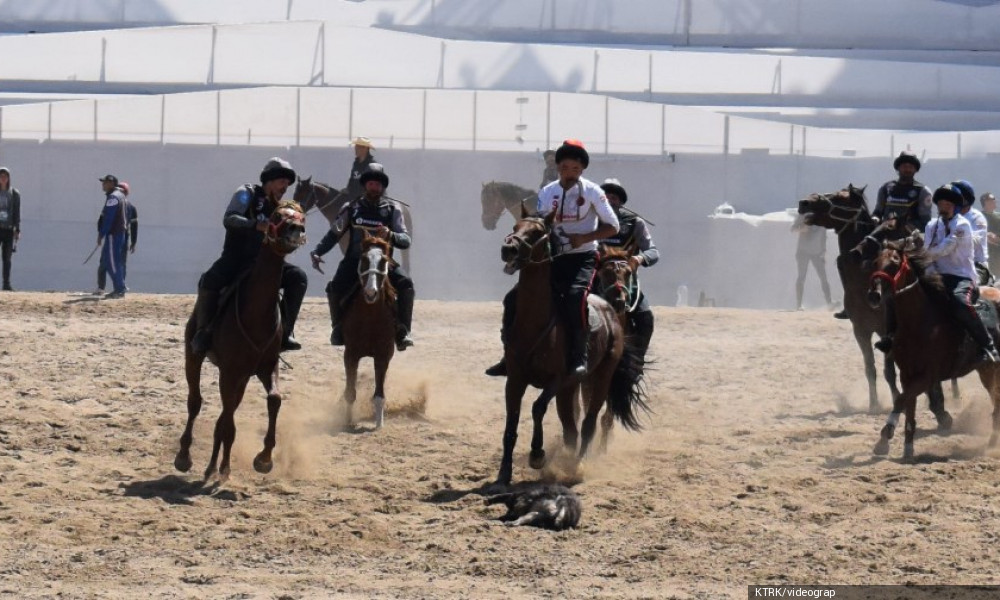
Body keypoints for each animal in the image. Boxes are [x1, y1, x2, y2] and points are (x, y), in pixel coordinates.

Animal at [174, 199, 304, 480]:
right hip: (194, 355)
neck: (256, 314)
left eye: (302, 218)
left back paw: (219, 466)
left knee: (227, 412)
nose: (296, 230)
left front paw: (263, 459)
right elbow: (226, 419)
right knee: (196, 402)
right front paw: (217, 466)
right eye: (276, 216)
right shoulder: (230, 371)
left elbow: (274, 400)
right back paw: (187, 457)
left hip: (243, 376)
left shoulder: (265, 367)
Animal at [342, 232, 400, 428]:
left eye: (383, 260)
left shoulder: (383, 355)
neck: (370, 318)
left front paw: (379, 424)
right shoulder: (350, 354)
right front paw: (348, 421)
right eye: (364, 259)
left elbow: (379, 395)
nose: (370, 292)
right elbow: (350, 392)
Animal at [492, 210, 648, 488]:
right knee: (571, 427)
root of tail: (610, 311)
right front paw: (503, 475)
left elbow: (537, 407)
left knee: (589, 422)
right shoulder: (515, 380)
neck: (534, 322)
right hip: (572, 388)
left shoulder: (559, 379)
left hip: (600, 378)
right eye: (516, 226)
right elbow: (511, 425)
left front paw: (537, 455)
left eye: (536, 232)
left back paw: (577, 465)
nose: (508, 248)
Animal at [796, 188, 952, 426]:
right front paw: (874, 404)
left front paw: (900, 402)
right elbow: (871, 368)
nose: (804, 202)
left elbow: (890, 371)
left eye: (840, 197)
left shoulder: (887, 330)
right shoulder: (861, 330)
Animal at [868, 239, 1000, 460]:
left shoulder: (928, 376)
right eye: (875, 261)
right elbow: (908, 406)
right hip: (986, 370)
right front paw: (907, 448)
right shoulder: (907, 375)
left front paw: (885, 437)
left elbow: (901, 399)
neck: (920, 322)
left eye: (894, 262)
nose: (873, 295)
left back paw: (990, 447)